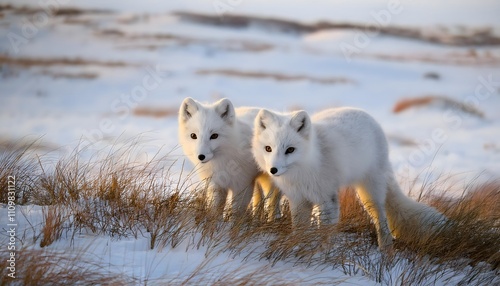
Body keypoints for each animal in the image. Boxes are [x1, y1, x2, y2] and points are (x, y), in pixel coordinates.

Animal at [254, 106, 446, 250]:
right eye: (268, 148)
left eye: (290, 150)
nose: (273, 170)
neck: (306, 167)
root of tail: (367, 116)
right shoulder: (299, 200)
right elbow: (299, 230)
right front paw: (297, 248)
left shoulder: (327, 198)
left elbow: (324, 233)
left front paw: (320, 255)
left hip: (370, 193)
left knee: (382, 221)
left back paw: (385, 250)